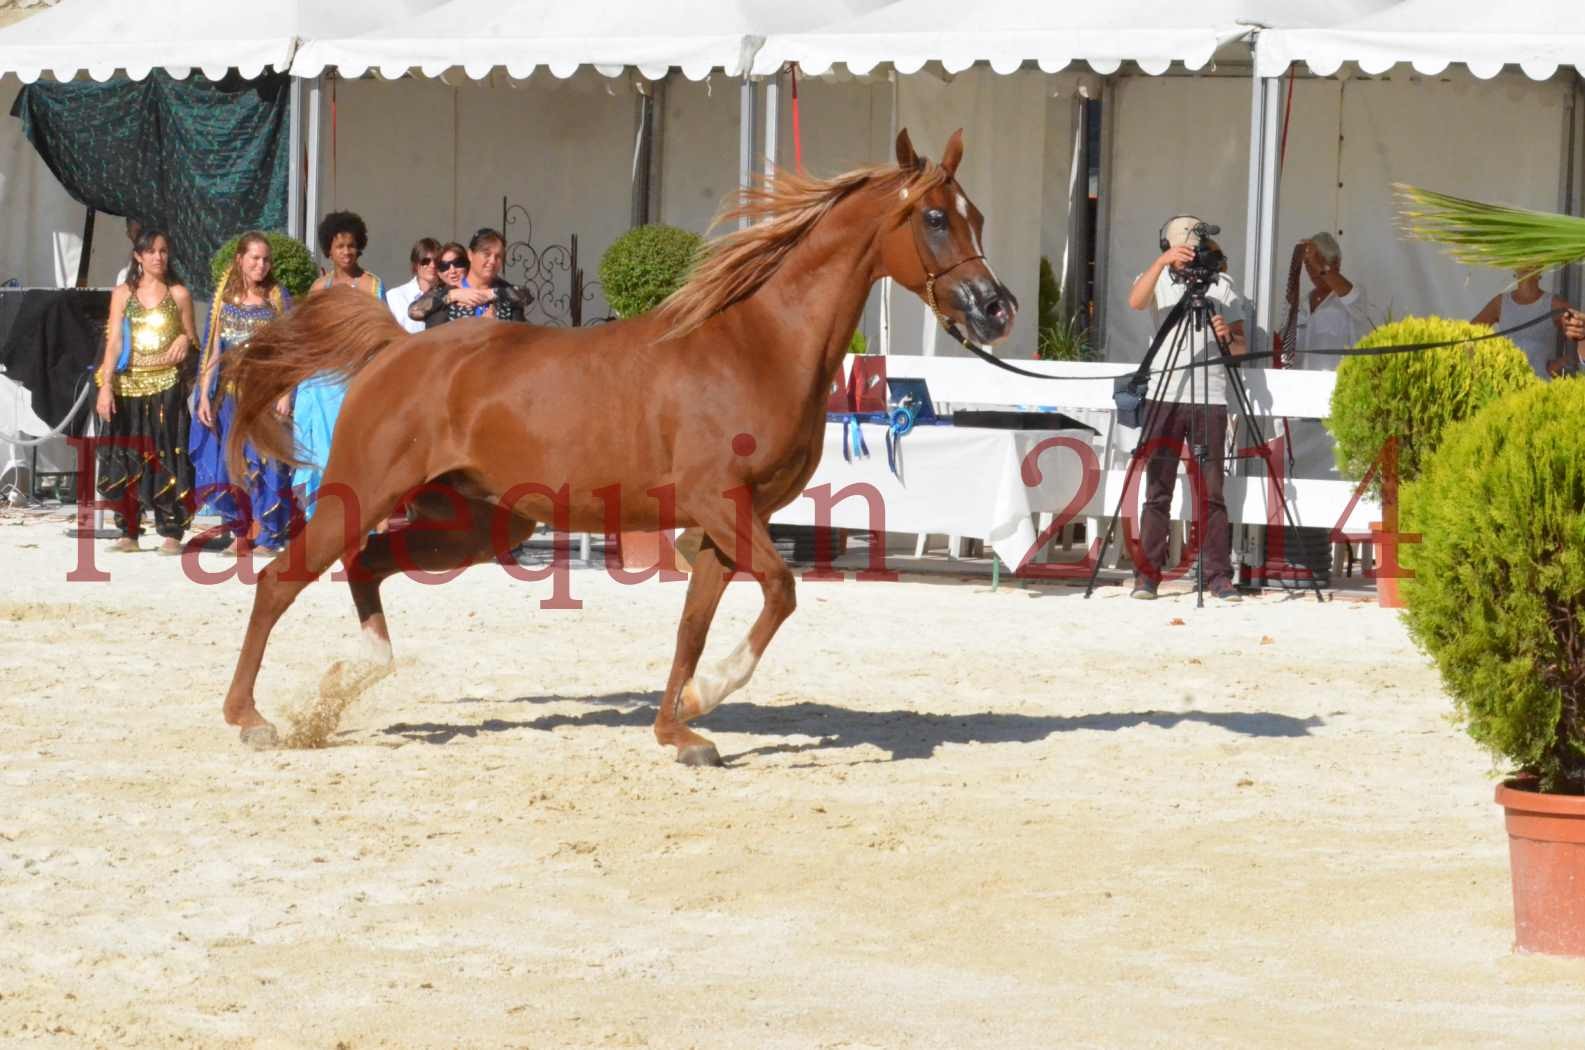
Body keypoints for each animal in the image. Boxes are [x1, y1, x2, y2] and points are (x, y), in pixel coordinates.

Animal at [223, 129, 1014, 764]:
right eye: (936, 217)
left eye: (977, 215)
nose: (995, 308)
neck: (755, 346)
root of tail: (395, 347)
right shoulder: (719, 504)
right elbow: (781, 593)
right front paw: (704, 698)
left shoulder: (729, 523)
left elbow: (694, 626)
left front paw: (679, 728)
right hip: (364, 493)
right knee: (281, 580)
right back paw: (250, 718)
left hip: (481, 522)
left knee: (368, 564)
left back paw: (358, 674)